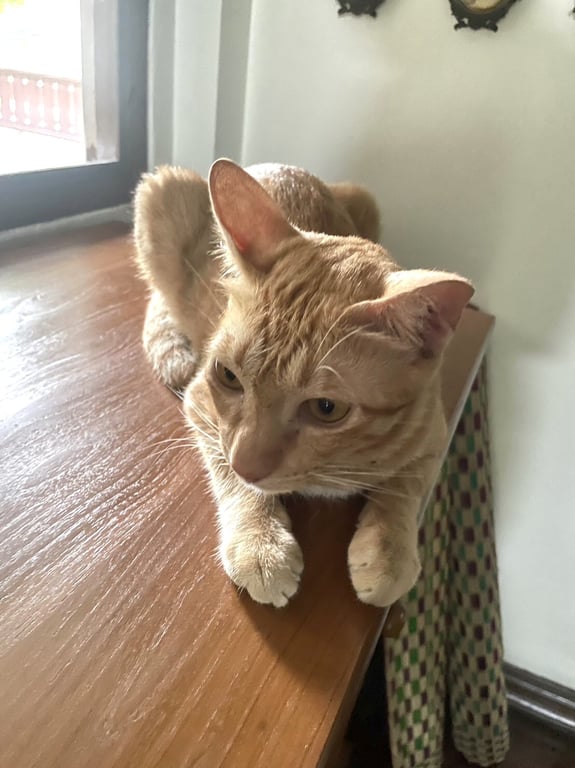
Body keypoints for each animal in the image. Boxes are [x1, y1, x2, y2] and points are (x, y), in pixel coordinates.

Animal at [133, 159, 473, 608]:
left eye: (326, 409)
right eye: (228, 376)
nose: (247, 463)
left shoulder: (434, 432)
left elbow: (406, 489)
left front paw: (390, 554)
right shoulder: (202, 406)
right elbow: (233, 478)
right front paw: (260, 544)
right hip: (161, 194)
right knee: (159, 294)